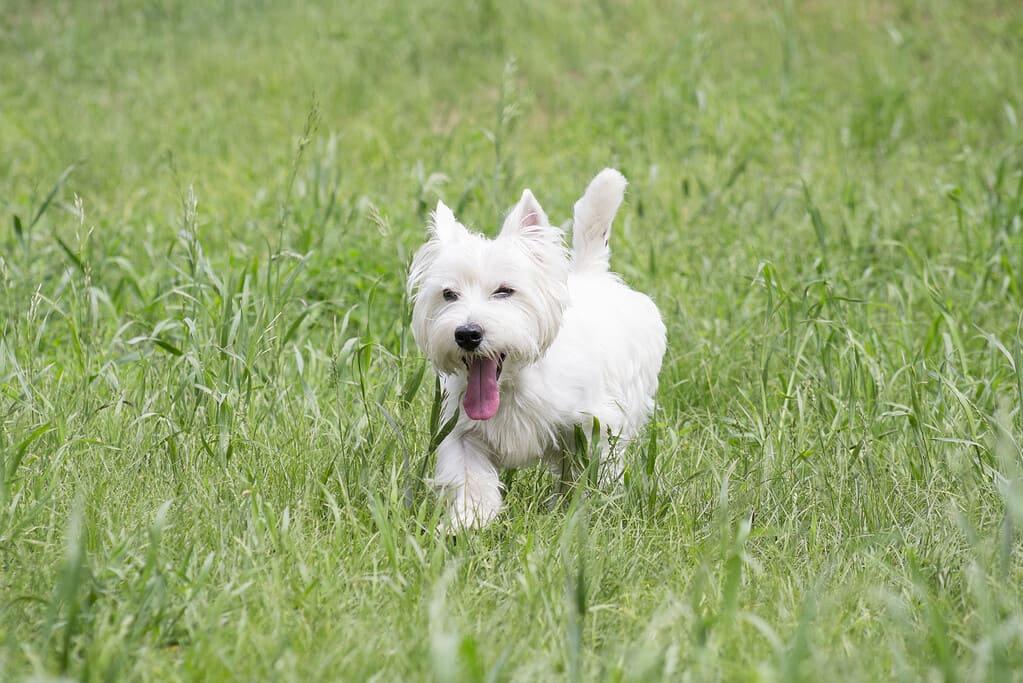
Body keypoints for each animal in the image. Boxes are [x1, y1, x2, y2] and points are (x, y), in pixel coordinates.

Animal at [407, 169, 662, 527]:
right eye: (448, 294)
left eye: (504, 291)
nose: (467, 334)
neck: (513, 385)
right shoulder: (460, 432)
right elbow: (471, 479)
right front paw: (466, 522)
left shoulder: (595, 425)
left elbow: (592, 473)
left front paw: (586, 514)